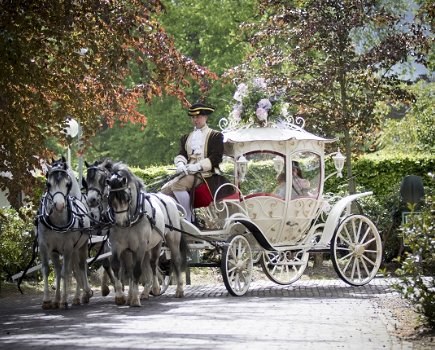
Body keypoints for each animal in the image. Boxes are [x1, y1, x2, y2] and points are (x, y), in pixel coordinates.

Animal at [36, 157, 93, 308]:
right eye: (48, 184)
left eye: (67, 184)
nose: (59, 205)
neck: (57, 221)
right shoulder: (46, 247)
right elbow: (49, 270)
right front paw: (49, 300)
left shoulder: (67, 247)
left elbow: (65, 272)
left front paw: (63, 300)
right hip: (66, 251)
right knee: (70, 269)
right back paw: (74, 297)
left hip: (81, 246)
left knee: (80, 267)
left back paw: (83, 294)